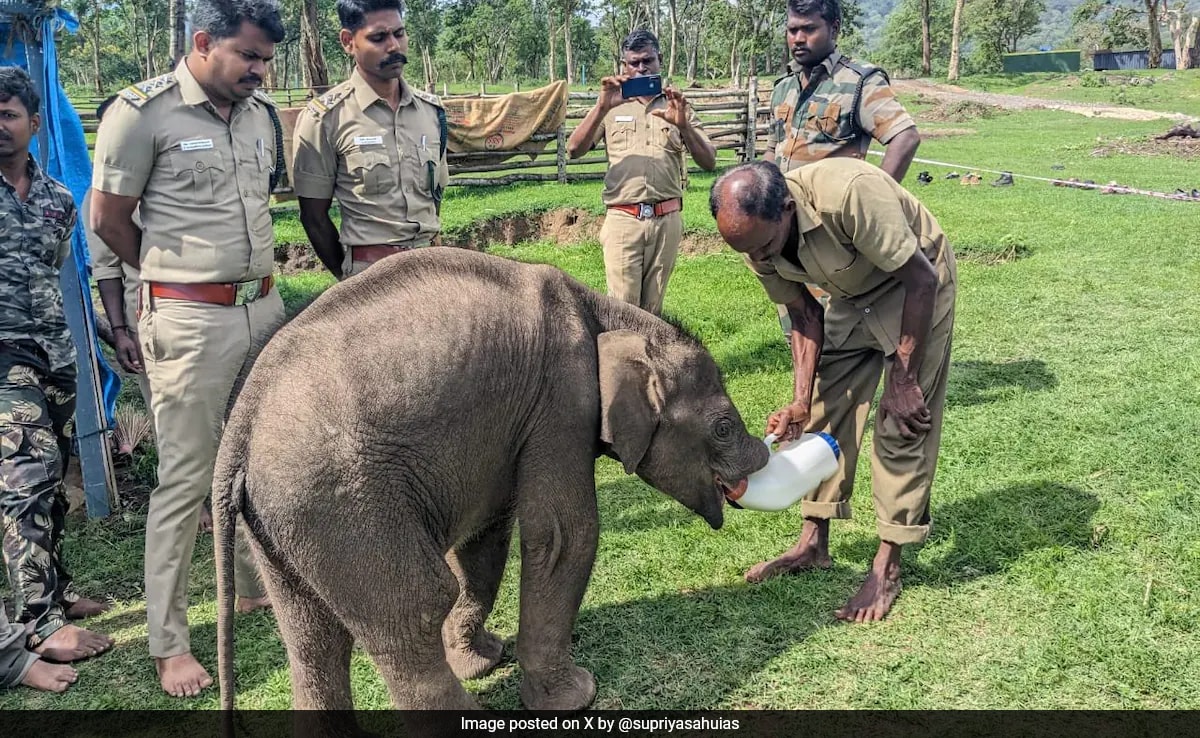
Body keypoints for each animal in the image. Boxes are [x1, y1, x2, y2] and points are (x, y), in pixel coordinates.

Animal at [216, 247, 768, 710]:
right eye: (722, 427)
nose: (763, 457)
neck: (609, 315)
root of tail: (238, 432)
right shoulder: (562, 400)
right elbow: (562, 535)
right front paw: (576, 697)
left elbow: (484, 540)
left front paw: (483, 659)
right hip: (344, 504)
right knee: (414, 608)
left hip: (282, 524)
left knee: (309, 633)